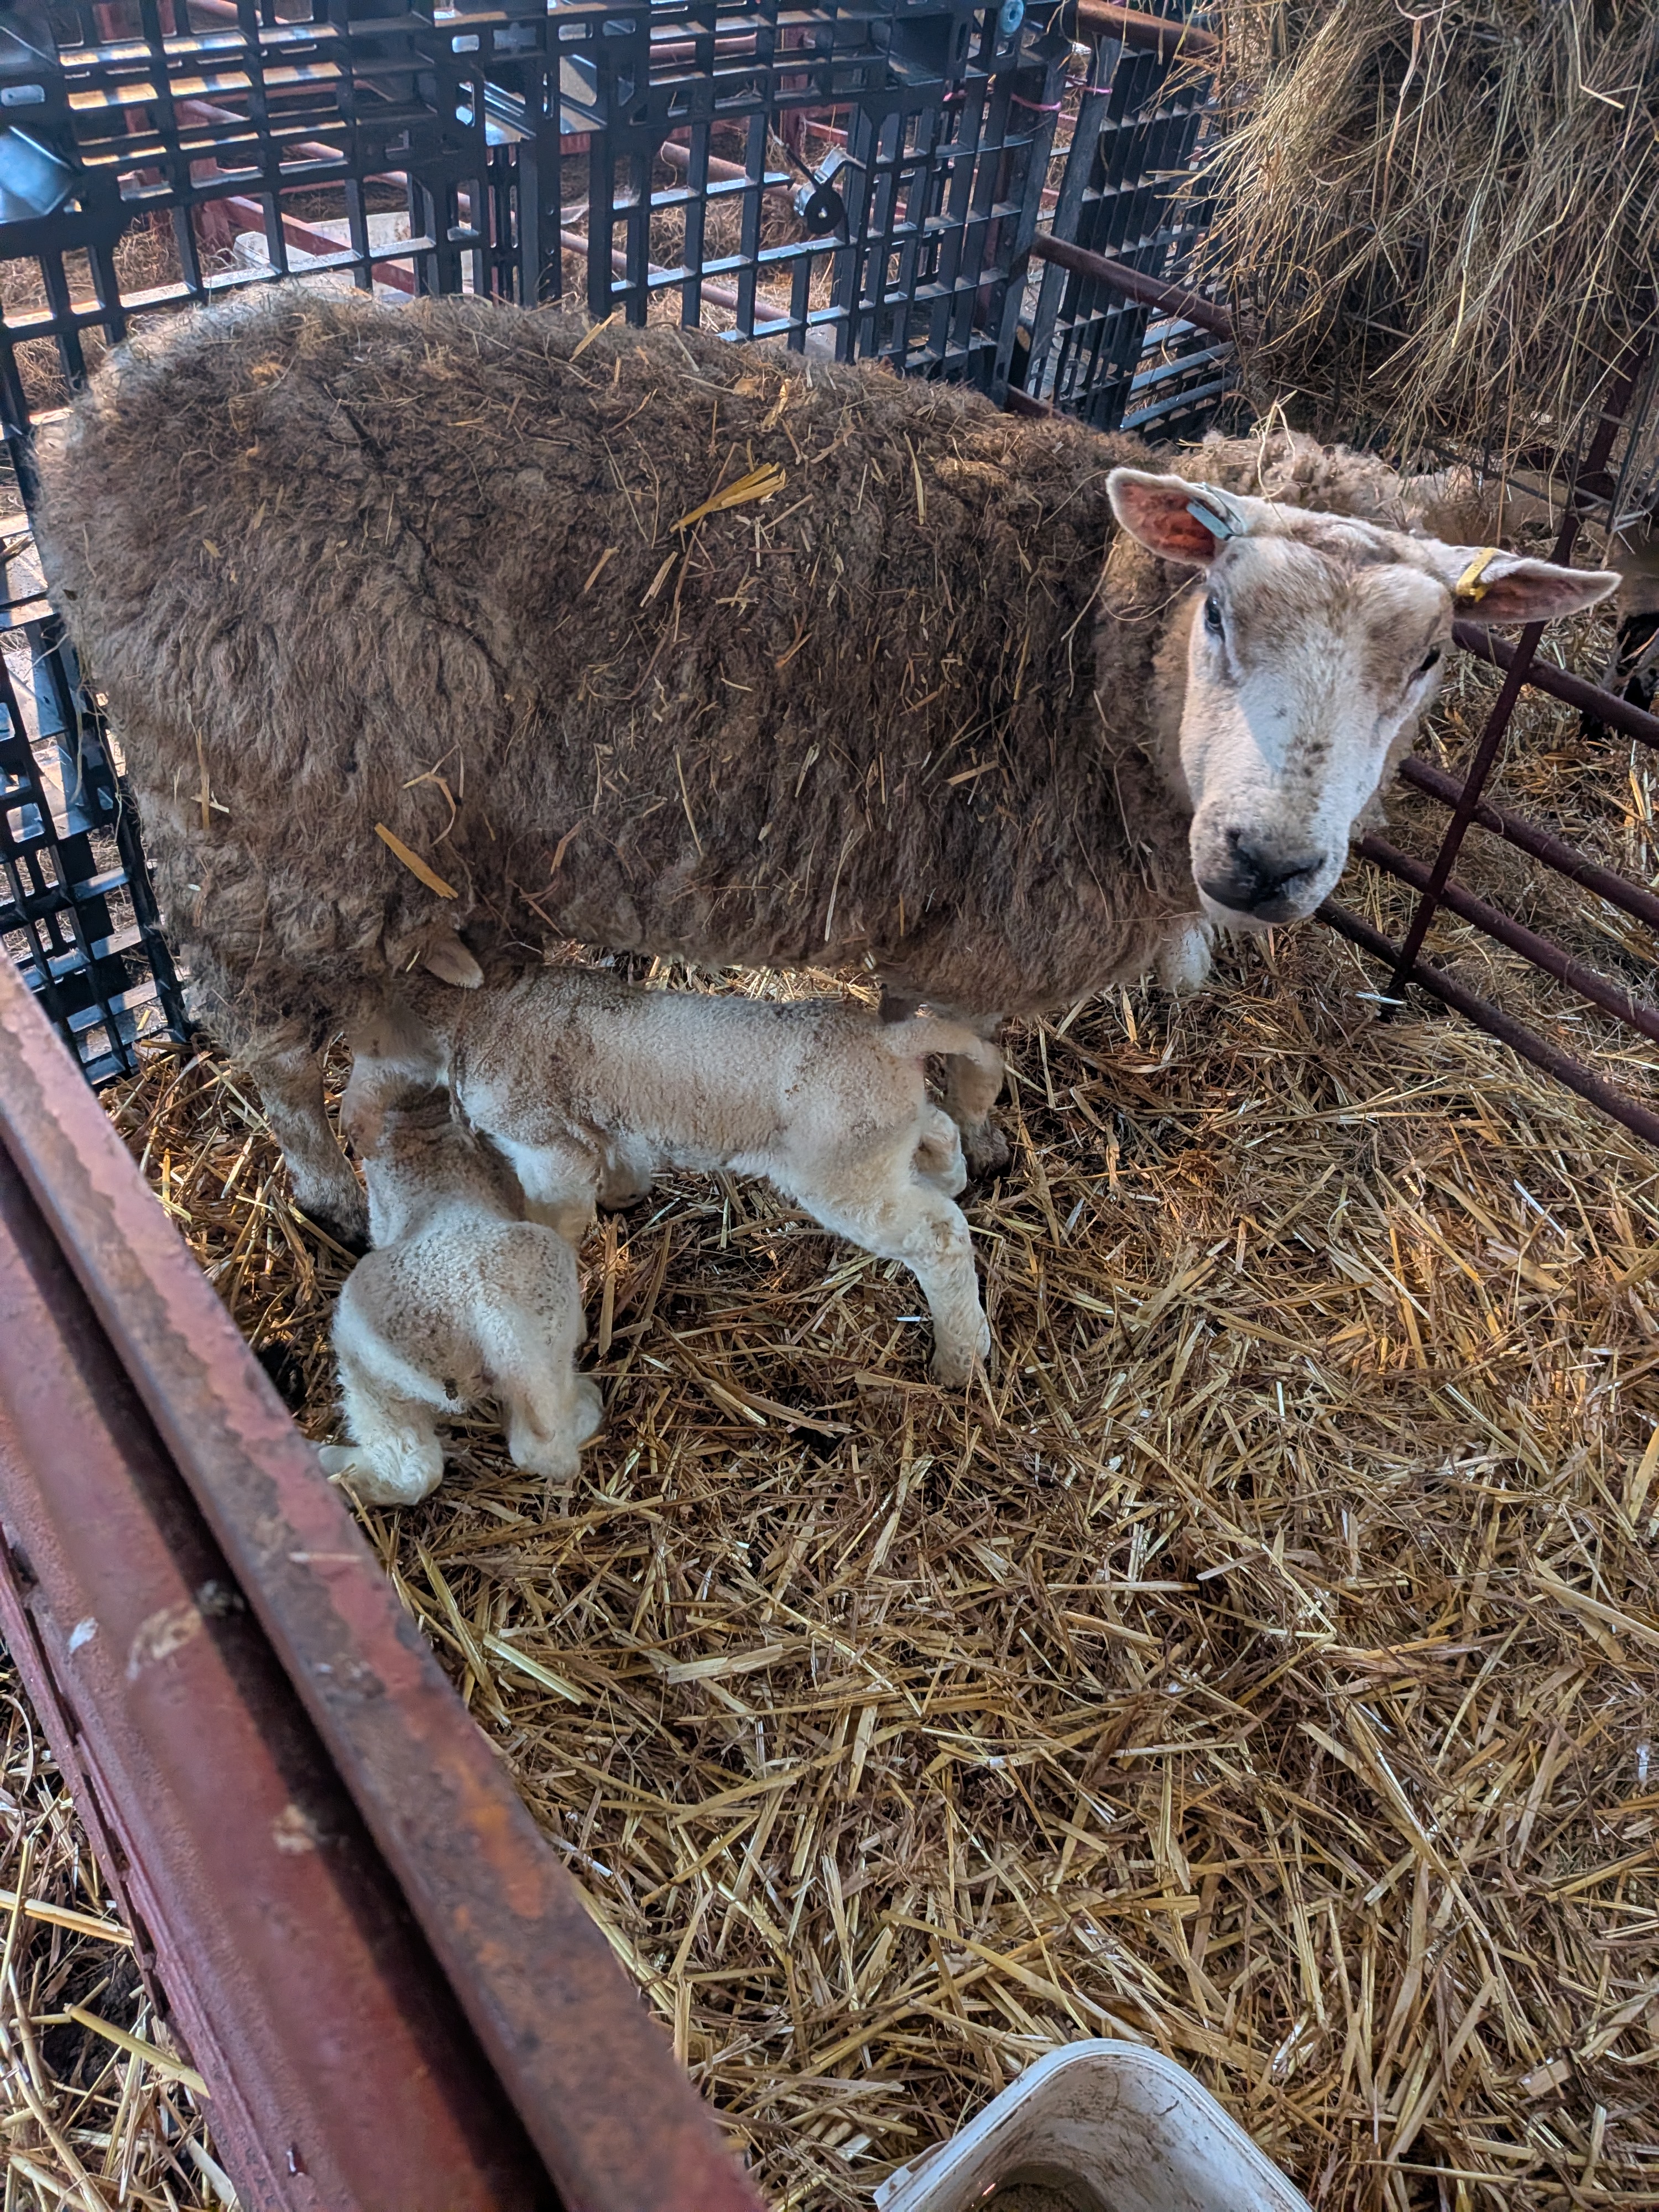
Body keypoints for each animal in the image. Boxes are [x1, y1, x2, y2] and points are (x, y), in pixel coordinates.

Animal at [35, 288, 1618, 1246]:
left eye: (1433, 659)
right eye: (1220, 611)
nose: (1268, 863)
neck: (1089, 659)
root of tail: (88, 423)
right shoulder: (986, 938)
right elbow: (970, 1068)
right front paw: (979, 1155)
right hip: (267, 824)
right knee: (267, 1046)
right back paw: (326, 1192)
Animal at [314, 1075, 601, 1504]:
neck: (426, 1133)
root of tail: (490, 1311)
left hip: (370, 1360)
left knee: (410, 1466)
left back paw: (332, 1467)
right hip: (546, 1343)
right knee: (543, 1444)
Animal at [343, 969, 1003, 1387]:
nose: (353, 1127)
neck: (478, 1015)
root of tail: (894, 1039)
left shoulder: (546, 1145)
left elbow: (556, 1219)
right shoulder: (600, 1129)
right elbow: (616, 1157)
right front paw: (623, 1193)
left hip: (843, 1172)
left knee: (940, 1236)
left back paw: (961, 1357)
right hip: (884, 1134)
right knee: (939, 1127)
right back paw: (951, 1176)